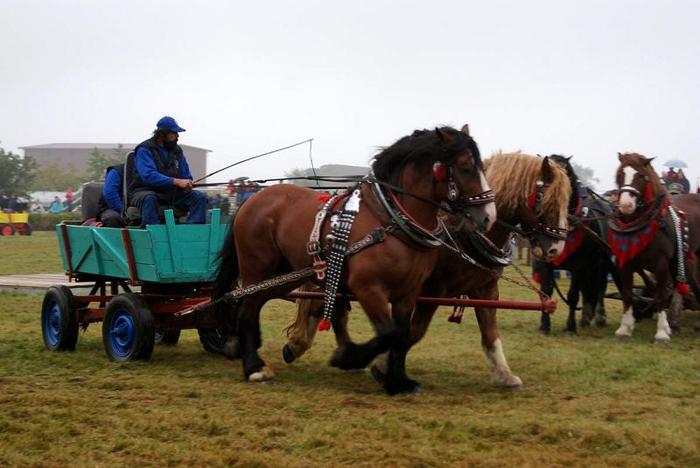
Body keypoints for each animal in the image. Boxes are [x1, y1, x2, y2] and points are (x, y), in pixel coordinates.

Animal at [216, 125, 494, 394]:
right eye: (465, 166)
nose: (489, 216)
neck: (390, 222)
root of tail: (252, 199)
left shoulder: (408, 292)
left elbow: (402, 336)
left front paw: (398, 381)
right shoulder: (367, 288)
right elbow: (388, 333)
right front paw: (347, 357)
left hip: (285, 275)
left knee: (253, 303)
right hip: (257, 267)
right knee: (247, 309)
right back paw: (254, 367)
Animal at [288, 152, 572, 390]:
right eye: (546, 201)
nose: (556, 249)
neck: (465, 234)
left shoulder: (486, 289)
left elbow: (490, 333)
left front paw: (504, 375)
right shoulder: (433, 289)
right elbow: (412, 333)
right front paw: (383, 366)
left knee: (331, 309)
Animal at [532, 155, 616, 334]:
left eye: (567, 175)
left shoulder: (578, 266)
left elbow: (572, 295)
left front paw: (570, 327)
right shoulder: (545, 262)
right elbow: (546, 291)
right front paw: (544, 326)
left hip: (601, 264)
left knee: (600, 287)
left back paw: (599, 316)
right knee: (588, 289)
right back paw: (586, 317)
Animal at [608, 155, 696, 342]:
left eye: (641, 176)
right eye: (620, 174)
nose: (626, 205)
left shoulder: (661, 264)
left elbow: (661, 296)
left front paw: (662, 332)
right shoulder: (624, 263)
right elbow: (627, 293)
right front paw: (624, 328)